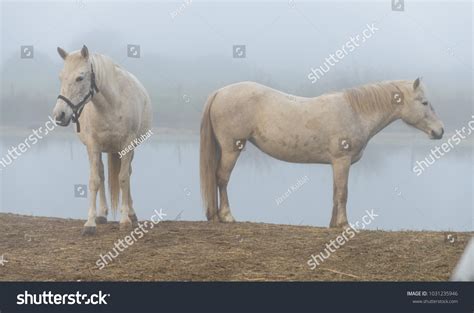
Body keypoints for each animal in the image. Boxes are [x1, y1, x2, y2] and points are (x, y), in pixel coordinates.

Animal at [52, 45, 152, 234]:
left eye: (80, 78)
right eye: (61, 77)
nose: (59, 114)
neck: (112, 105)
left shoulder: (127, 145)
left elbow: (123, 178)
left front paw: (125, 220)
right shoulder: (93, 146)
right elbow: (94, 181)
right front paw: (90, 223)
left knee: (128, 174)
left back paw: (131, 213)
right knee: (102, 174)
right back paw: (102, 214)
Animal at [200, 78, 444, 227]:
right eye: (424, 102)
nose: (439, 131)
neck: (356, 112)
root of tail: (220, 92)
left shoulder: (336, 164)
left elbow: (336, 192)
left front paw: (333, 224)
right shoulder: (342, 160)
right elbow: (343, 193)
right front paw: (344, 224)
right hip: (232, 148)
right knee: (222, 178)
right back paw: (226, 216)